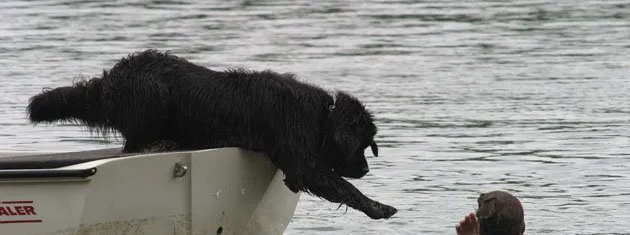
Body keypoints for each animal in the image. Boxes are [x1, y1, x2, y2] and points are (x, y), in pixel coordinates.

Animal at [27, 48, 400, 219]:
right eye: (361, 146)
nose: (366, 168)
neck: (321, 117)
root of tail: (111, 78)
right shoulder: (303, 160)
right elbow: (341, 186)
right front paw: (379, 207)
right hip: (152, 99)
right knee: (134, 143)